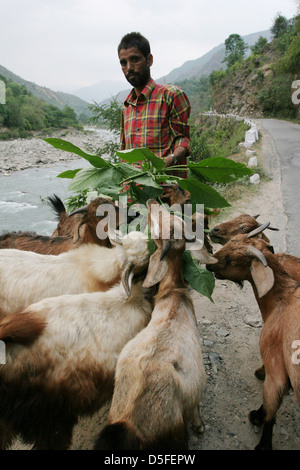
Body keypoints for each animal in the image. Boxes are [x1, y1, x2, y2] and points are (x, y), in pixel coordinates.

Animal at [93, 200, 213, 450]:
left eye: (169, 222)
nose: (152, 203)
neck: (173, 295)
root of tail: (127, 425)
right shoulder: (195, 391)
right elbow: (196, 410)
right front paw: (200, 426)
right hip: (175, 436)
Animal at [206, 229, 300, 450]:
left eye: (231, 260)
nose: (208, 263)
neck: (284, 298)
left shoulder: (276, 369)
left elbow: (271, 410)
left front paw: (257, 419)